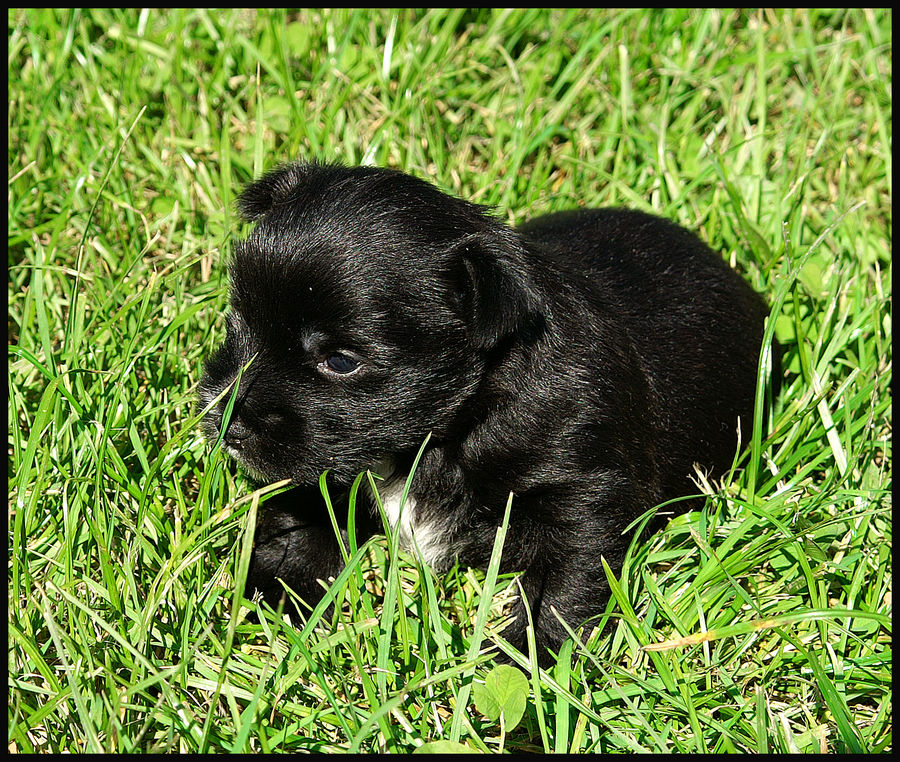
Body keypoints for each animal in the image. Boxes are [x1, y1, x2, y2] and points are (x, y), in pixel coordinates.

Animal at [200, 163, 776, 664]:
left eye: (340, 360)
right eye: (237, 320)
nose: (224, 419)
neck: (452, 427)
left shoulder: (584, 496)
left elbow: (560, 591)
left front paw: (528, 669)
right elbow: (302, 511)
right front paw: (277, 591)